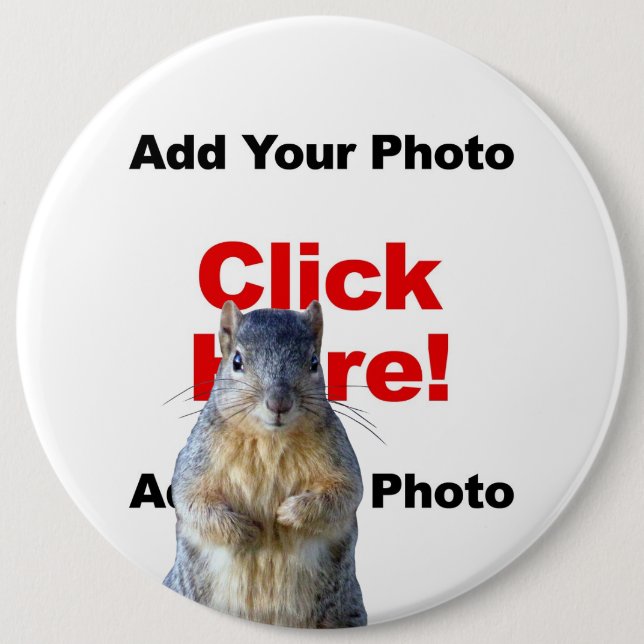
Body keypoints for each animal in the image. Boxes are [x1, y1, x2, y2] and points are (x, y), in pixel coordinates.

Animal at [163, 300, 367, 628]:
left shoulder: (340, 459)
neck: (270, 440)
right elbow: (192, 501)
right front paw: (245, 529)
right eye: (236, 361)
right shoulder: (196, 461)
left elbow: (345, 494)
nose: (279, 403)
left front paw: (288, 513)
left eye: (313, 362)